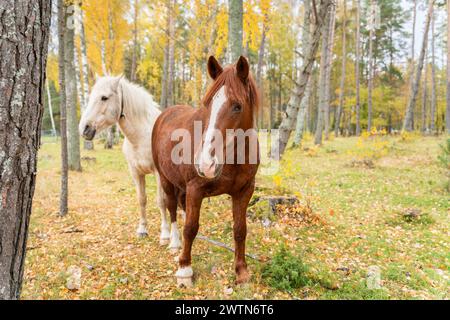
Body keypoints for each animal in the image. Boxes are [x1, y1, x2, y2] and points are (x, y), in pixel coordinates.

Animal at [78, 76, 181, 251]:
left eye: (104, 97)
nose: (84, 129)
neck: (141, 136)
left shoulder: (158, 174)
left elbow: (161, 201)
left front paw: (165, 236)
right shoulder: (135, 172)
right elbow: (141, 199)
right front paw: (142, 230)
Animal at [153, 56, 260, 286]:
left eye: (237, 106)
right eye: (208, 104)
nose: (205, 163)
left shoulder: (244, 191)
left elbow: (240, 229)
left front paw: (241, 271)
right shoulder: (195, 189)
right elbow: (190, 228)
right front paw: (185, 270)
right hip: (165, 179)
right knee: (172, 208)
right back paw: (173, 243)